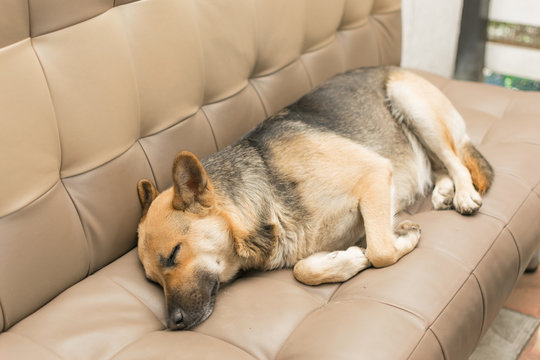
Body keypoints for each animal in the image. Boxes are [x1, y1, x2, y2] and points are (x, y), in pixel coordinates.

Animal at [136, 66, 494, 330]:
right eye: (153, 281)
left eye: (174, 254)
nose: (173, 323)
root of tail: (395, 67)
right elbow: (304, 269)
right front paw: (349, 259)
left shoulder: (375, 176)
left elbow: (381, 252)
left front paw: (392, 243)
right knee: (438, 167)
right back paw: (444, 191)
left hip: (411, 103)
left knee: (455, 161)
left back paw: (463, 193)